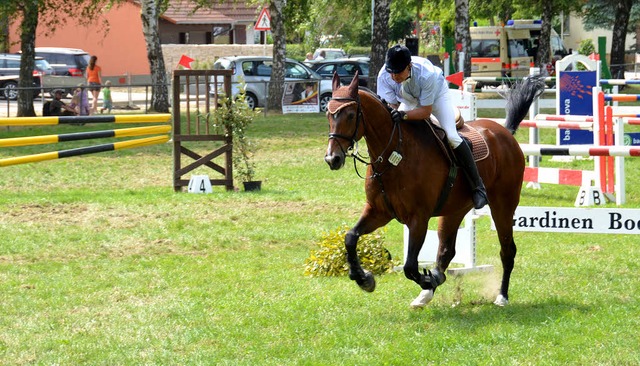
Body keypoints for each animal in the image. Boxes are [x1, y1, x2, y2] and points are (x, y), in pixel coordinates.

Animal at [324, 73, 544, 308]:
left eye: (350, 115)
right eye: (328, 113)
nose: (332, 159)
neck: (394, 154)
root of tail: (505, 132)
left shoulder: (418, 218)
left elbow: (411, 266)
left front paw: (427, 279)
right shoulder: (378, 212)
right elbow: (350, 237)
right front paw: (364, 278)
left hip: (503, 205)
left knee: (507, 250)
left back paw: (501, 296)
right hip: (455, 210)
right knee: (447, 250)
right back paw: (427, 291)